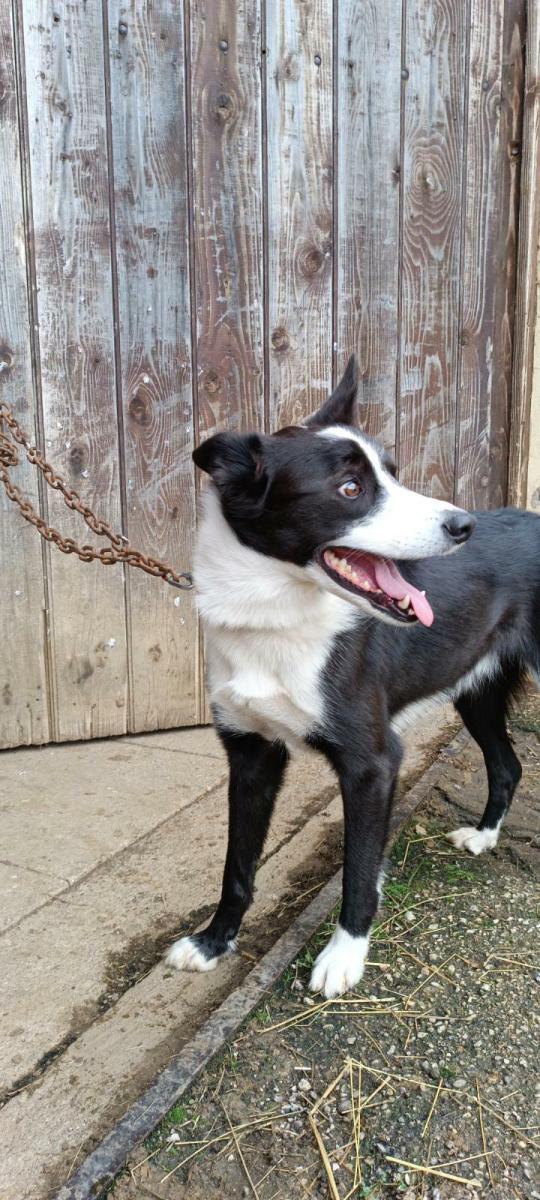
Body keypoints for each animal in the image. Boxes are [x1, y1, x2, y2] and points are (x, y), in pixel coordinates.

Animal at [166, 360, 537, 998]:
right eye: (349, 489)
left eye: (393, 473)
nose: (461, 524)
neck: (273, 613)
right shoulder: (251, 753)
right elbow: (237, 866)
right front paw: (214, 941)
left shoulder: (373, 763)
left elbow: (358, 869)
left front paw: (345, 955)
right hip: (476, 691)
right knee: (507, 765)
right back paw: (485, 837)